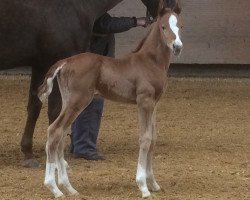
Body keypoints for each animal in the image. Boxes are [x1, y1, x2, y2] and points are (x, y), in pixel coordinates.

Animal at [0, 0, 180, 167]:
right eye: (164, 26)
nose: (176, 7)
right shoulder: (48, 62)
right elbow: (51, 111)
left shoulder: (40, 64)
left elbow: (34, 107)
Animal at [38, 0, 182, 197]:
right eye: (163, 27)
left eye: (179, 26)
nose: (177, 47)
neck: (150, 62)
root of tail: (65, 62)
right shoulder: (144, 102)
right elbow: (145, 139)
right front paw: (143, 186)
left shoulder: (155, 103)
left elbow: (153, 138)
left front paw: (153, 183)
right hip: (78, 101)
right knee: (54, 131)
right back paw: (54, 188)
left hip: (69, 101)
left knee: (59, 134)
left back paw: (69, 188)